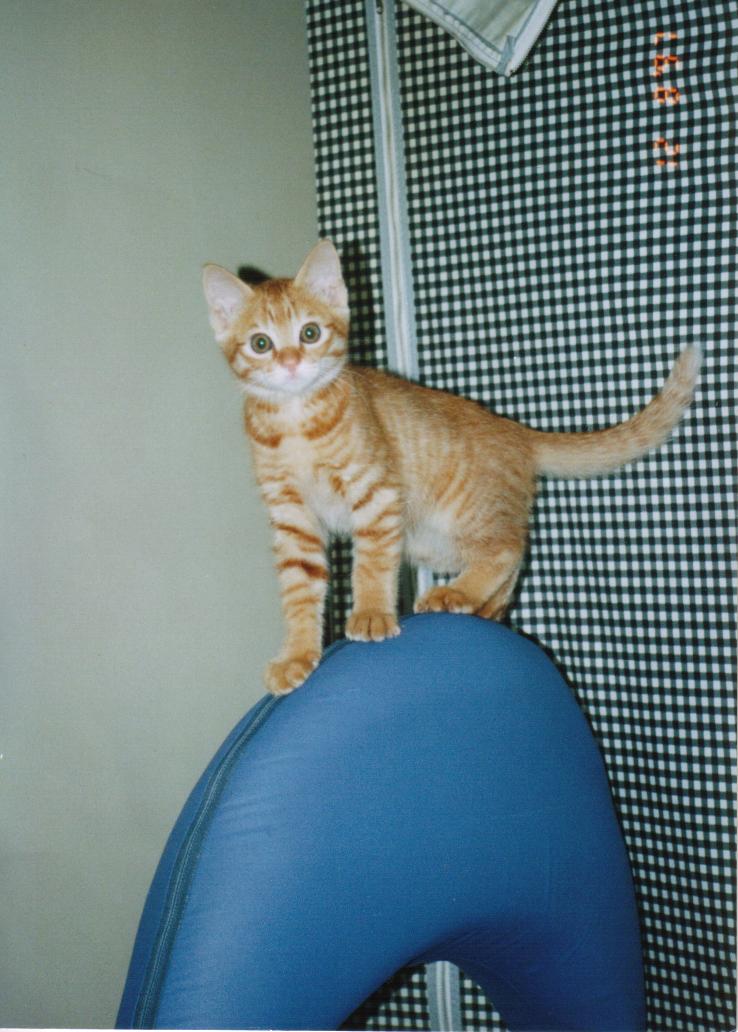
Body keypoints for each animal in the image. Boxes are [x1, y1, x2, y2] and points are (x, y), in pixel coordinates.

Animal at [203, 240, 701, 696]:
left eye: (309, 333)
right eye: (261, 343)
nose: (290, 363)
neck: (296, 423)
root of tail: (512, 429)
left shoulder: (376, 492)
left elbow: (371, 563)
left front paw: (371, 612)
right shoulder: (292, 518)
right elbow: (299, 589)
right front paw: (297, 654)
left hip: (462, 514)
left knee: (508, 548)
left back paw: (455, 593)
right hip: (428, 541)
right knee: (510, 566)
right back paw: (480, 607)